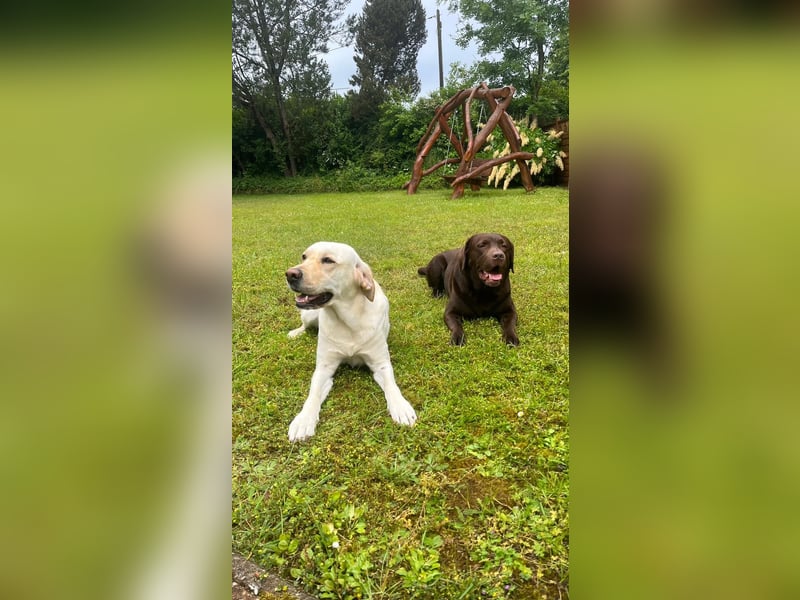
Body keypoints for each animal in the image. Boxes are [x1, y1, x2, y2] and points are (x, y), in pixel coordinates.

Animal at [282, 241, 418, 442]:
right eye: (304, 257)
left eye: (328, 260)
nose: (290, 274)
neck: (348, 320)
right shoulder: (324, 368)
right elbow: (313, 394)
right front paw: (303, 420)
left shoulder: (381, 364)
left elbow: (392, 386)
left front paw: (401, 407)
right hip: (310, 315)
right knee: (305, 325)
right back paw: (295, 333)